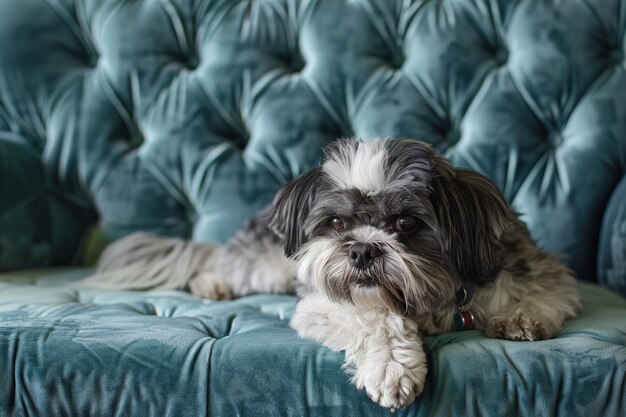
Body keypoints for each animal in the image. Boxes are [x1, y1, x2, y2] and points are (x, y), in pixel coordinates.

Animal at [94, 137, 580, 410]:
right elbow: (375, 317)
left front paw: (518, 317)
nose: (363, 249)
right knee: (223, 264)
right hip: (269, 265)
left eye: (405, 222)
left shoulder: (529, 264)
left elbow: (539, 291)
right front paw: (392, 368)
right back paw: (212, 284)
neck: (430, 297)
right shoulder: (323, 301)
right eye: (336, 223)